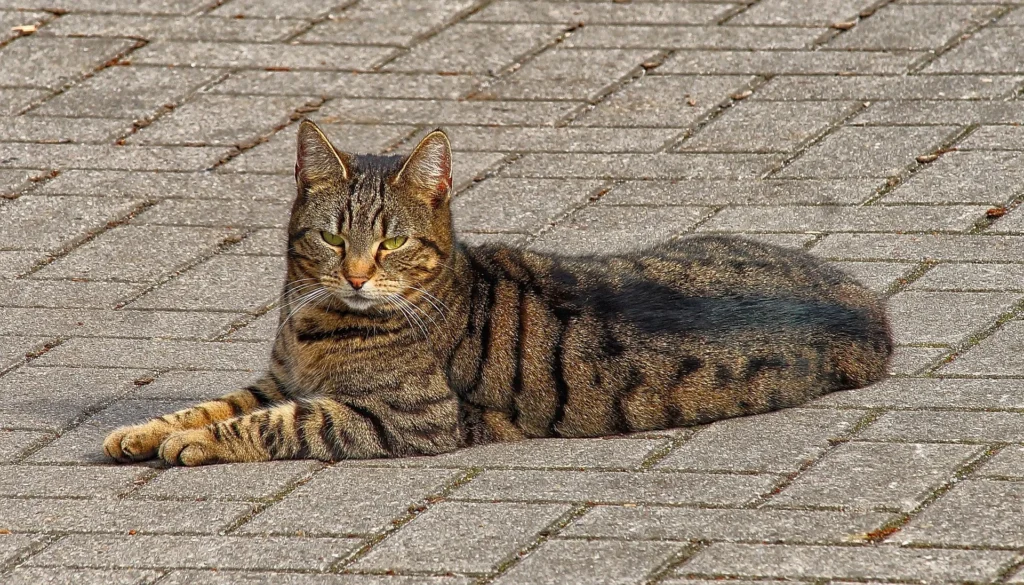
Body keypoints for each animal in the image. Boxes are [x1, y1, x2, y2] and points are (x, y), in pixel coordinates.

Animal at [99, 118, 892, 467]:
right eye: (331, 236)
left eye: (391, 243)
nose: (356, 274)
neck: (317, 323)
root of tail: (877, 310)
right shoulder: (276, 377)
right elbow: (218, 401)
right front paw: (147, 428)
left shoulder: (404, 420)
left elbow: (274, 423)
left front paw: (190, 441)